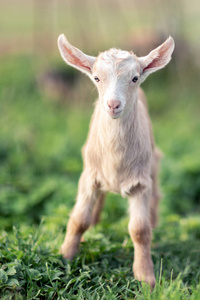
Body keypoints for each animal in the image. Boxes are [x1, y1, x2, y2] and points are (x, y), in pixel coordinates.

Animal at [57, 35, 173, 288]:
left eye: (135, 78)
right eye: (97, 78)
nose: (113, 105)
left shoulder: (141, 182)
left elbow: (140, 230)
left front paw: (145, 277)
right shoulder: (88, 176)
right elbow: (78, 219)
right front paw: (65, 256)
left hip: (153, 162)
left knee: (156, 197)